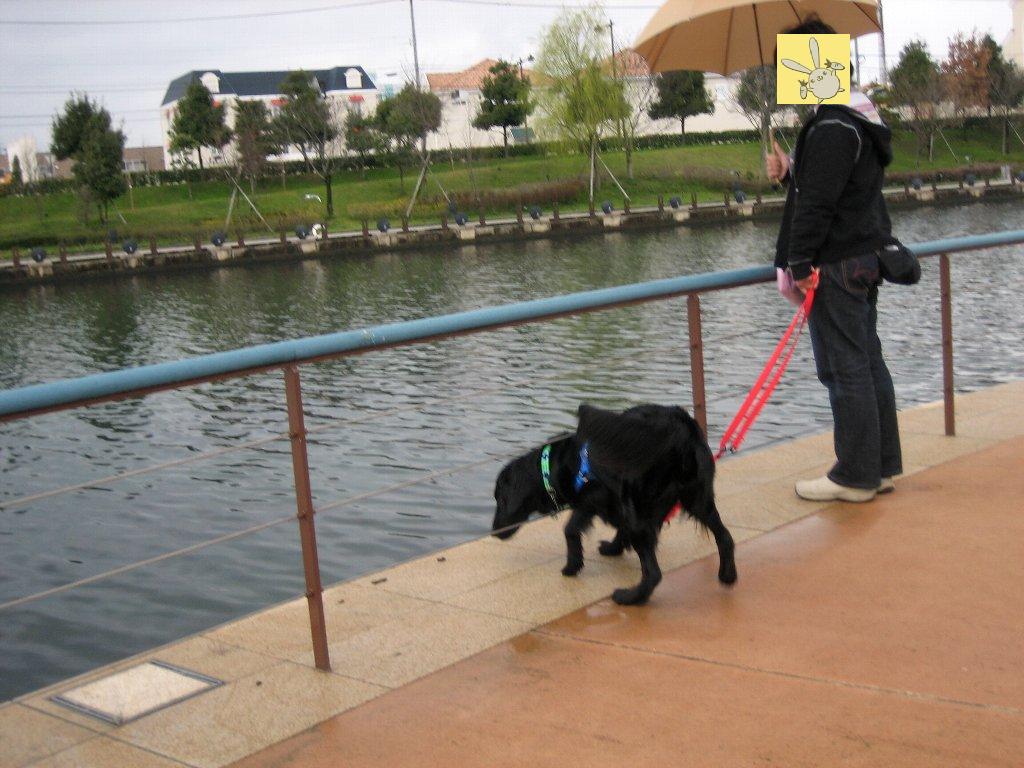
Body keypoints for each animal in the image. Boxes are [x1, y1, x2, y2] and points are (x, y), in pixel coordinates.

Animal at [492, 403, 737, 605]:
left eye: (500, 499)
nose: (494, 532)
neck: (554, 464)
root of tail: (679, 428)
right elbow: (619, 528)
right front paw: (613, 547)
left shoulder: (592, 498)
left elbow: (570, 529)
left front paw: (572, 565)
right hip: (697, 499)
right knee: (725, 537)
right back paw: (727, 576)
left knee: (653, 573)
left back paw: (630, 598)